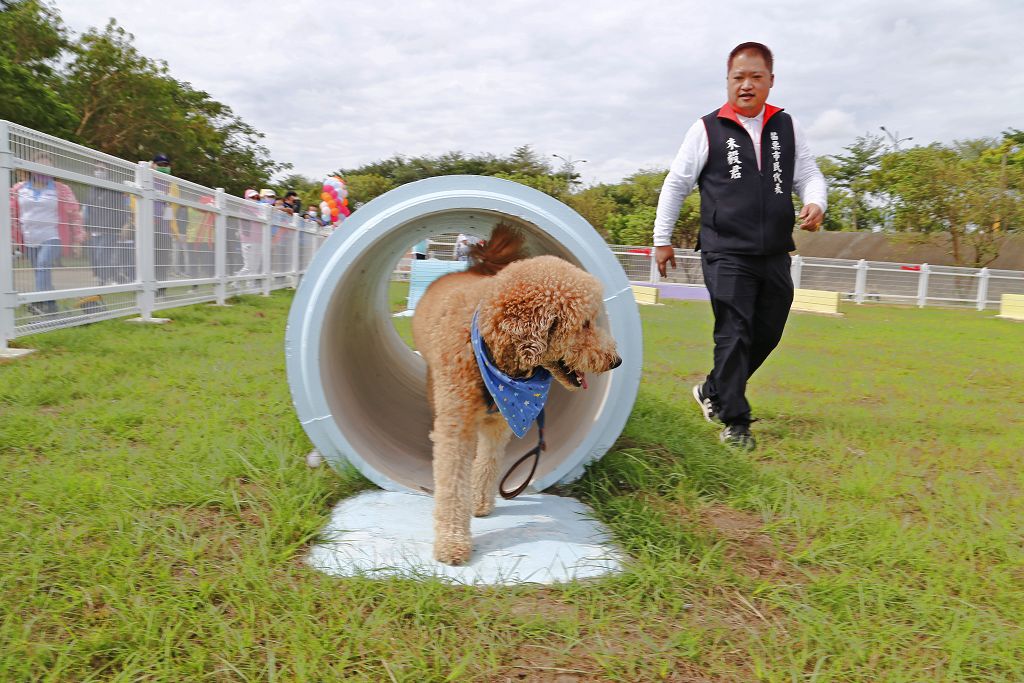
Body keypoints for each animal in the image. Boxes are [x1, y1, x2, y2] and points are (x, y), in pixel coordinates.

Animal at [411, 225, 618, 565]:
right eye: (584, 324)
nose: (616, 360)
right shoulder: (457, 424)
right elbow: (452, 482)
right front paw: (452, 544)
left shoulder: (500, 419)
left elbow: (487, 462)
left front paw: (479, 501)